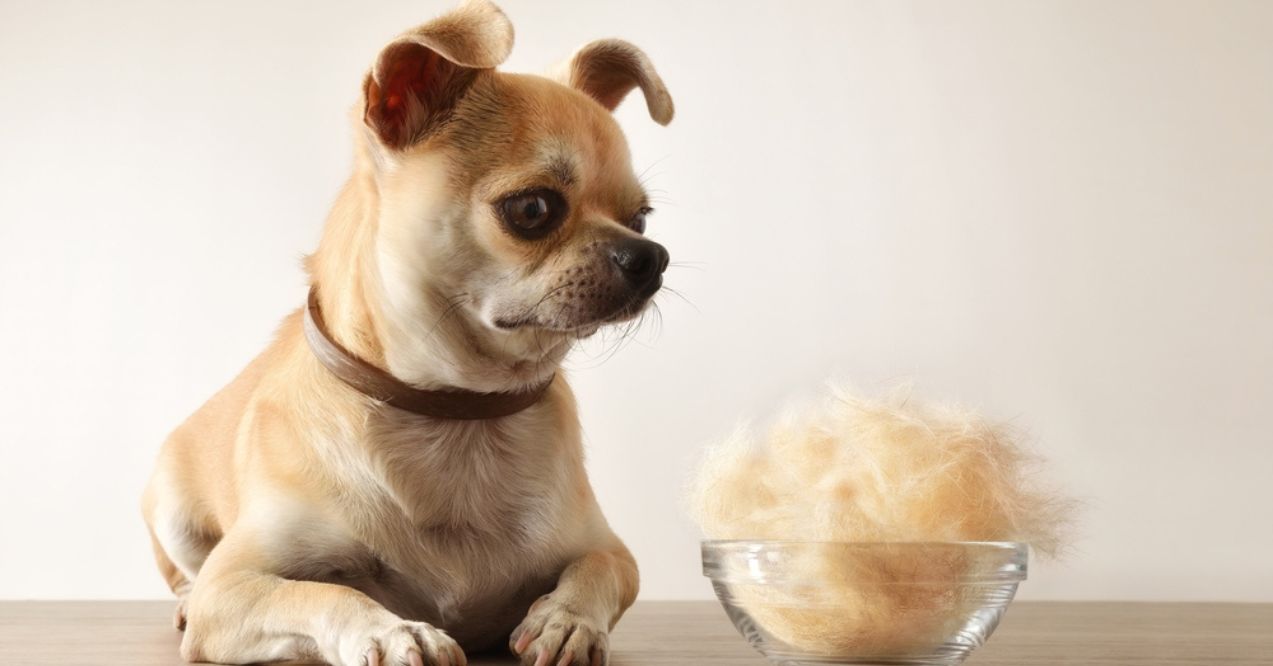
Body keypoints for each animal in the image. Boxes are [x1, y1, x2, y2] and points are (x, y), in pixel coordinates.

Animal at [138, 2, 672, 662]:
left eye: (641, 218)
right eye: (532, 209)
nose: (651, 256)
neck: (455, 414)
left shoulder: (610, 550)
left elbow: (599, 570)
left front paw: (567, 619)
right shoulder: (233, 586)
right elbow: (325, 593)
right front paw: (392, 630)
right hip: (174, 510)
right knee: (188, 575)